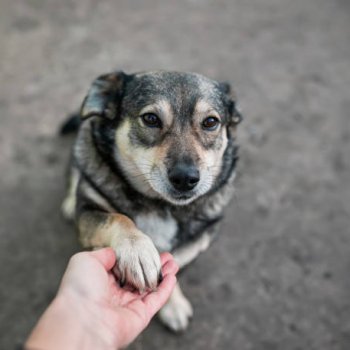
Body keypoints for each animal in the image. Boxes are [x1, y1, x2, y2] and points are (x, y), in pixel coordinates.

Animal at [60, 70, 241, 330]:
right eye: (151, 118)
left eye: (210, 122)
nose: (185, 178)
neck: (160, 204)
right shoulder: (87, 211)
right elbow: (118, 218)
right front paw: (137, 251)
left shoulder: (198, 240)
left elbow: (174, 263)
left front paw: (173, 304)